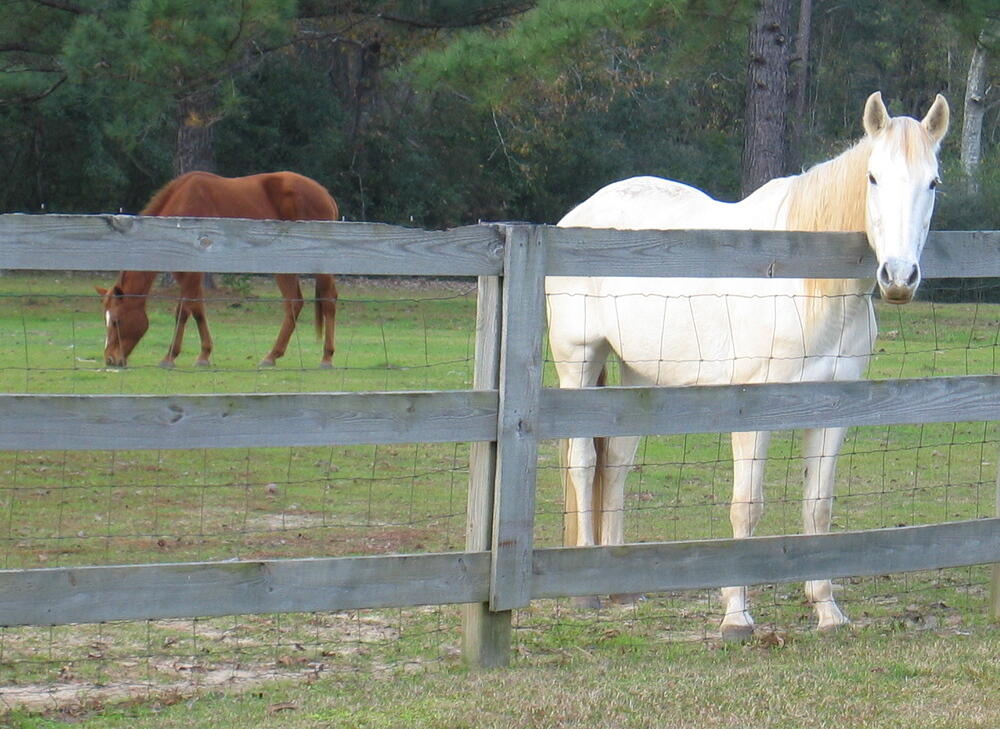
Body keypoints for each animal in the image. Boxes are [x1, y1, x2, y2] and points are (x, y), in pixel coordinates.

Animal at [97, 171, 339, 369]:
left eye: (116, 321)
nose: (110, 359)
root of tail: (326, 195)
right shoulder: (186, 274)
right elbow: (197, 309)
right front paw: (204, 355)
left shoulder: (192, 271)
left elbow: (183, 311)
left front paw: (169, 357)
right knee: (294, 303)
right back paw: (271, 356)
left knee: (328, 300)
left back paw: (326, 357)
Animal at [545, 92, 950, 639]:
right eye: (872, 177)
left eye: (933, 182)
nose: (900, 277)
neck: (806, 286)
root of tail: (577, 217)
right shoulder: (754, 412)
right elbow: (746, 507)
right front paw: (736, 617)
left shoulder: (833, 412)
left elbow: (818, 507)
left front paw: (827, 609)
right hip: (579, 362)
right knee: (583, 460)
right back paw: (586, 590)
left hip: (638, 372)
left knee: (619, 460)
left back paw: (620, 588)